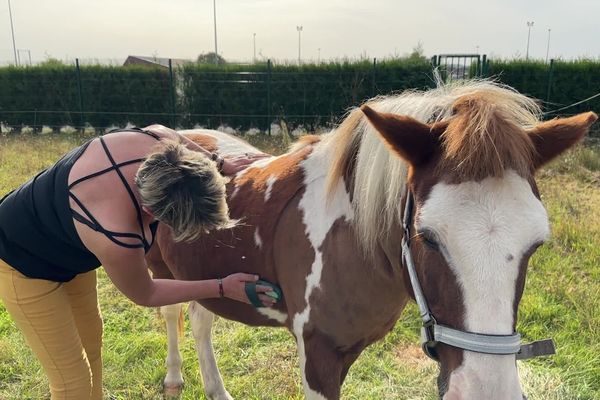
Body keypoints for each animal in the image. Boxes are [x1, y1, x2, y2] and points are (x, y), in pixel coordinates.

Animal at [144, 79, 596, 398]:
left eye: (536, 244)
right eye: (427, 237)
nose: (485, 393)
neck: (353, 244)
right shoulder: (318, 358)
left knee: (201, 318)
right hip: (160, 270)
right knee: (171, 312)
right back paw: (174, 378)